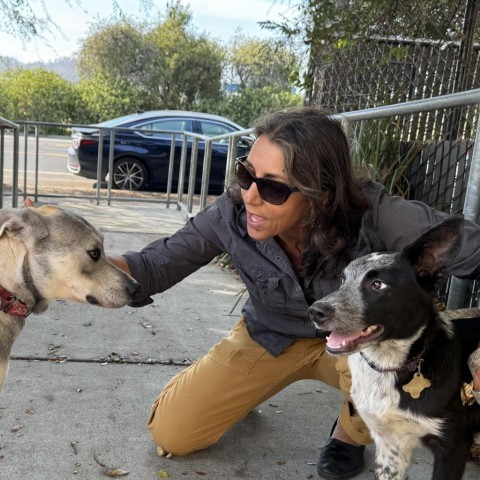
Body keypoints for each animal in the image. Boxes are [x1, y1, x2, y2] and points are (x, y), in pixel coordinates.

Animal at [312, 218, 480, 480]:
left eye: (377, 284)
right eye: (342, 280)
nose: (315, 311)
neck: (390, 367)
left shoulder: (453, 446)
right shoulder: (390, 443)